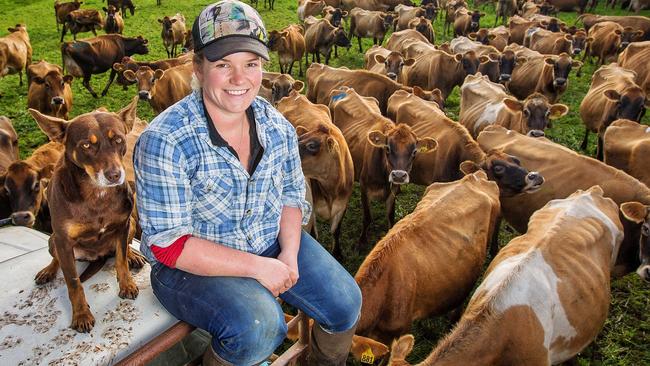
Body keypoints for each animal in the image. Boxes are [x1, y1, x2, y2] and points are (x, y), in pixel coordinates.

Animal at [30, 96, 144, 332]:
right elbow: (73, 282)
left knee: (124, 249)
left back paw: (133, 255)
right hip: (53, 241)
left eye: (118, 140)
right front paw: (81, 314)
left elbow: (120, 260)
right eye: (86, 145)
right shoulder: (63, 241)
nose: (115, 175)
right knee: (57, 260)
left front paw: (127, 284)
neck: (96, 194)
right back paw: (48, 271)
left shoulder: (123, 225)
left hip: (129, 226)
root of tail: (96, 256)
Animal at [274, 90, 352, 258]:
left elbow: (336, 231)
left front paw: (337, 253)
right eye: (299, 138)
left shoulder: (342, 206)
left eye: (311, 145)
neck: (333, 188)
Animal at [326, 86, 438, 246]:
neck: (384, 178)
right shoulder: (364, 187)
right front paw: (362, 241)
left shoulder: (393, 190)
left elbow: (390, 216)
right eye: (387, 148)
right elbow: (367, 217)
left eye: (414, 152)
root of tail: (347, 89)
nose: (399, 175)